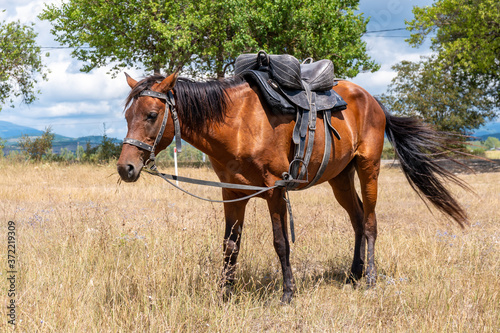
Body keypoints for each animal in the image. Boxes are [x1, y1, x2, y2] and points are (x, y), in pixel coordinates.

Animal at [118, 71, 468, 302]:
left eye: (152, 114)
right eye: (126, 117)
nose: (126, 168)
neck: (239, 124)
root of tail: (374, 102)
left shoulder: (274, 190)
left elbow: (281, 243)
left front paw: (288, 294)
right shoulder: (233, 193)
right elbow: (230, 246)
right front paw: (225, 294)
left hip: (369, 170)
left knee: (369, 223)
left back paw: (369, 278)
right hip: (340, 178)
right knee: (356, 220)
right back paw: (352, 275)